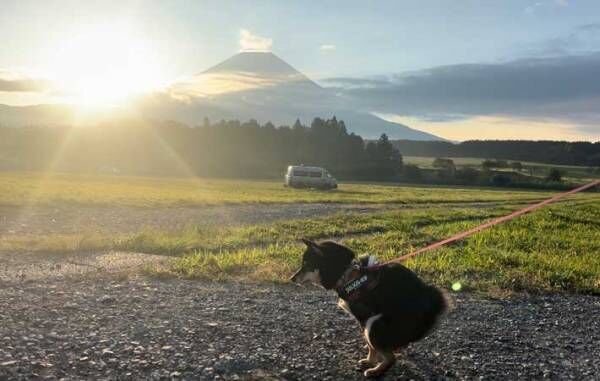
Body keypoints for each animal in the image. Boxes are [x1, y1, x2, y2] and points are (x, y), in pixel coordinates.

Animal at [288, 239, 448, 376]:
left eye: (306, 264)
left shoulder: (364, 316)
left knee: (391, 358)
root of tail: (431, 306)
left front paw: (370, 360)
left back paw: (376, 371)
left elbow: (370, 345)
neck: (347, 276)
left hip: (375, 324)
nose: (292, 278)